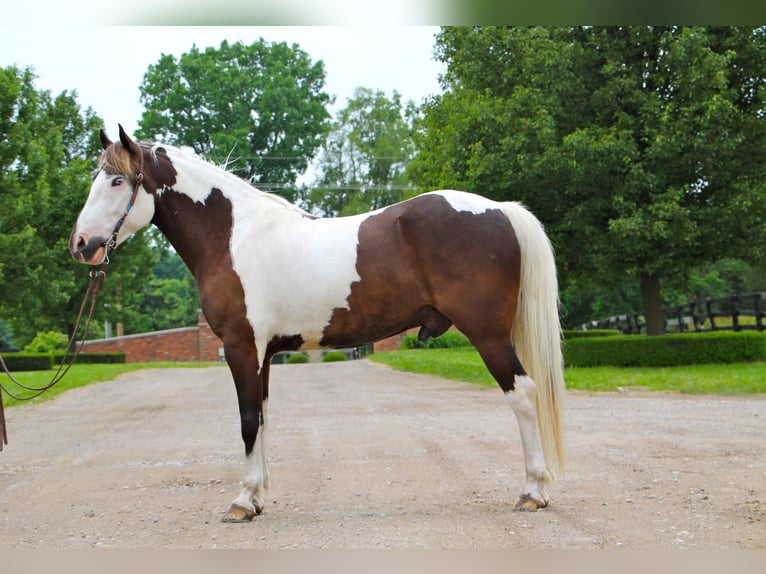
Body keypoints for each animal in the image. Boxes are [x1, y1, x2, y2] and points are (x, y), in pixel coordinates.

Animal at [69, 128, 568, 524]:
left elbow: (247, 421)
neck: (233, 237)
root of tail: (500, 209)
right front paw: (258, 498)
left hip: (488, 335)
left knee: (523, 394)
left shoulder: (241, 348)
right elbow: (262, 418)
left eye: (117, 180)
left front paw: (241, 502)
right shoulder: (264, 356)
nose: (80, 244)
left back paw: (532, 492)